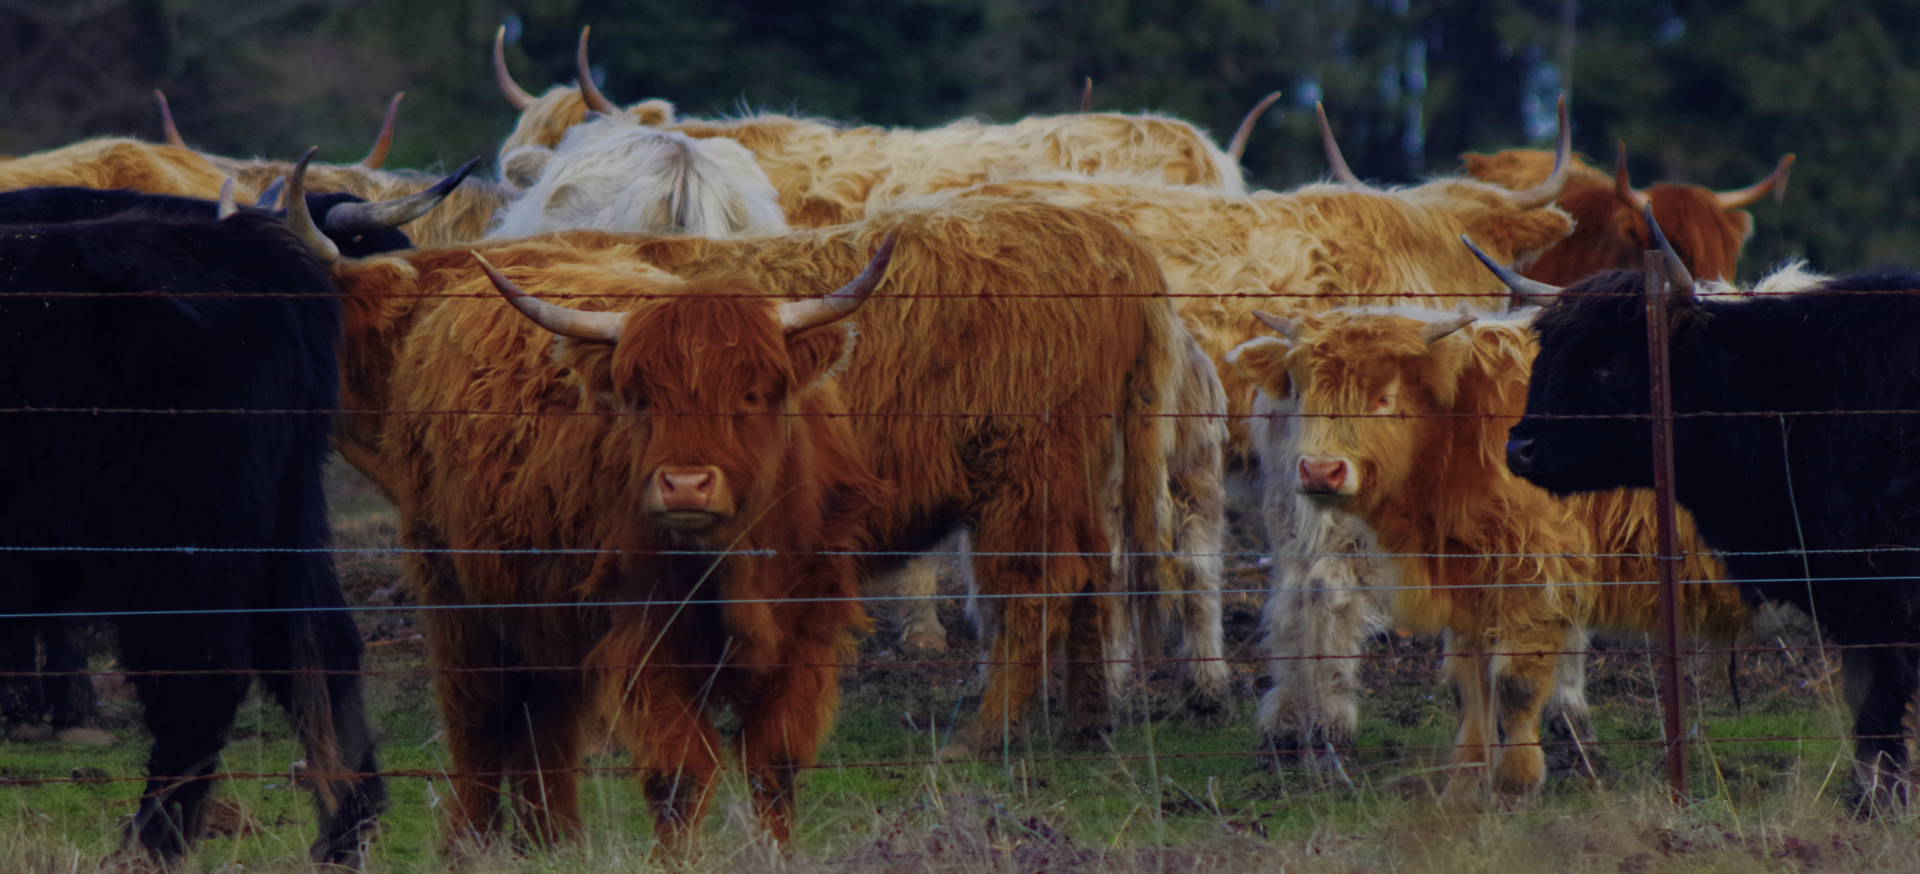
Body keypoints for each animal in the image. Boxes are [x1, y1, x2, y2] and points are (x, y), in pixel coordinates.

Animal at [0, 181, 411, 864]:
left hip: (177, 539)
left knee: (201, 674)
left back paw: (147, 847)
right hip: (285, 523)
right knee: (320, 650)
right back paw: (345, 830)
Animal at [290, 191, 1191, 850]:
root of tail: (1110, 237)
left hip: (1023, 474)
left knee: (1038, 586)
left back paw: (982, 735)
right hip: (1072, 472)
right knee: (1095, 571)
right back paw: (1085, 725)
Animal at [1499, 216, 1920, 812]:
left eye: (1609, 363)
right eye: (1547, 356)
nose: (1520, 448)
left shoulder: (1885, 591)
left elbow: (1879, 705)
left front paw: (1879, 803)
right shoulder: (1850, 592)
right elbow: (1866, 701)